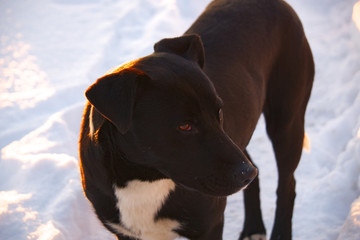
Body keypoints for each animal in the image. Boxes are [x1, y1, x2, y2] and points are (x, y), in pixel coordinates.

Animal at [79, 0, 312, 240]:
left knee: (287, 185)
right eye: (185, 126)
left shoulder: (209, 225)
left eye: (219, 112)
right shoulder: (125, 232)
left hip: (286, 121)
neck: (144, 178)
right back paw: (253, 227)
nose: (246, 174)